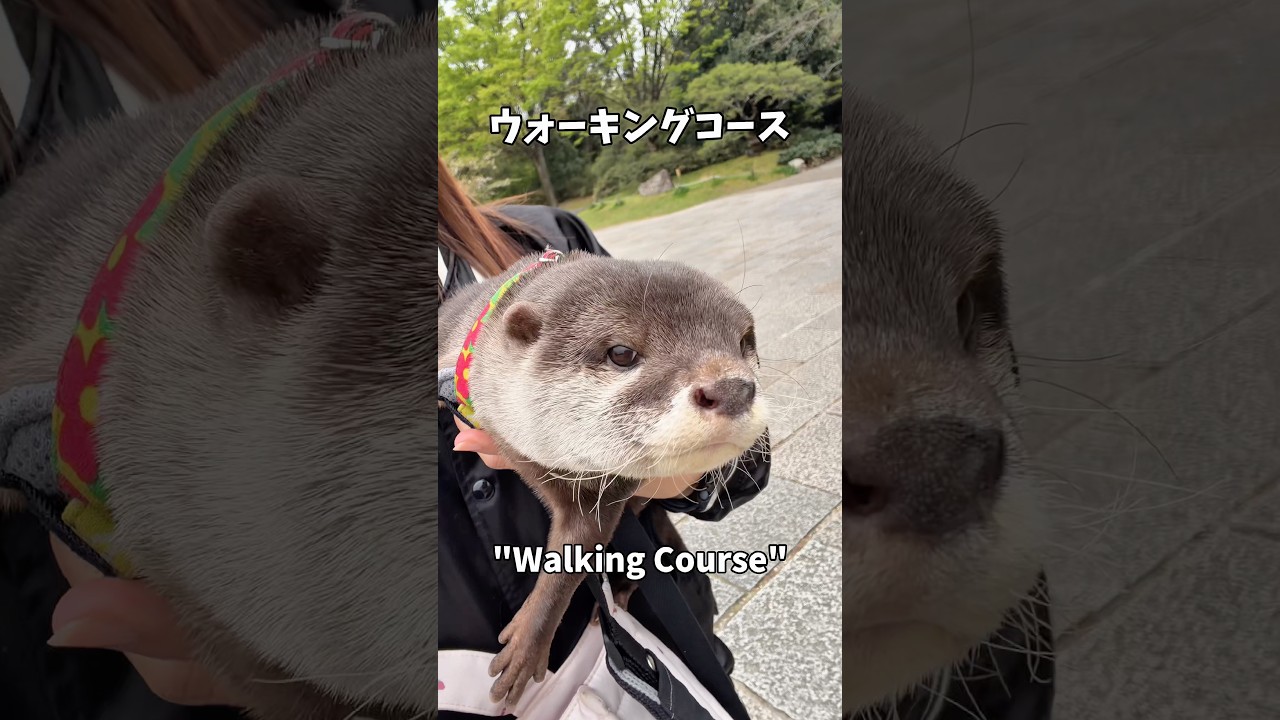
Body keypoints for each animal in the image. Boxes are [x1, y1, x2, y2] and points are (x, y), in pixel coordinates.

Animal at [438, 249, 768, 706]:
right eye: (622, 352)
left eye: (744, 342)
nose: (732, 388)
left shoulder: (608, 490)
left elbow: (574, 556)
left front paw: (525, 648)